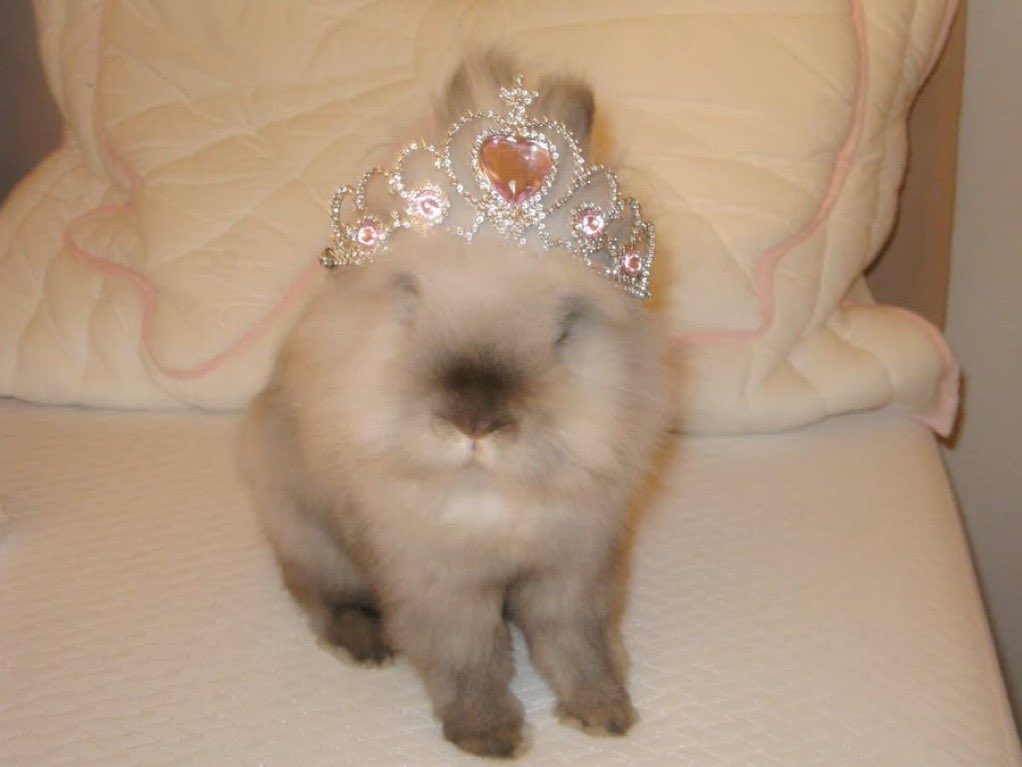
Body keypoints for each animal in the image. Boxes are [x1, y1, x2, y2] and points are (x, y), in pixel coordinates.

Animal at [239, 53, 671, 758]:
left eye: (566, 327)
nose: (474, 422)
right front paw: (490, 737)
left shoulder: (574, 568)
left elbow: (576, 641)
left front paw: (604, 713)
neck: (488, 494)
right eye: (410, 298)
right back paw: (366, 643)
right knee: (317, 593)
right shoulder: (438, 584)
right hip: (309, 532)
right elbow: (469, 658)